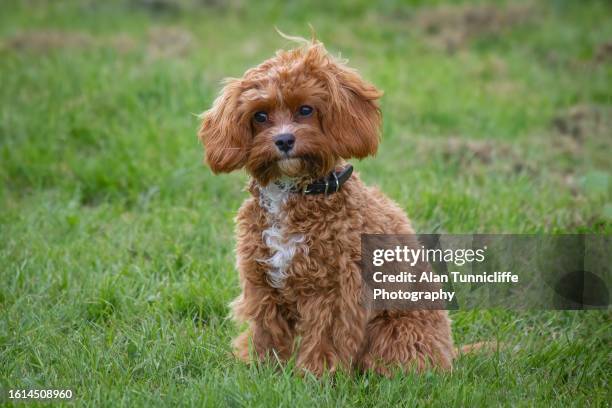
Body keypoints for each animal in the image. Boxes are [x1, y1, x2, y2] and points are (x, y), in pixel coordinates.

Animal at [197, 36, 454, 374]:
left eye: (306, 109)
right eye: (260, 115)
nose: (284, 140)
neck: (295, 191)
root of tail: (452, 353)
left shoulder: (335, 290)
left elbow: (325, 339)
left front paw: (315, 375)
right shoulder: (261, 282)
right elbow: (266, 331)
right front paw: (262, 369)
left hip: (397, 332)